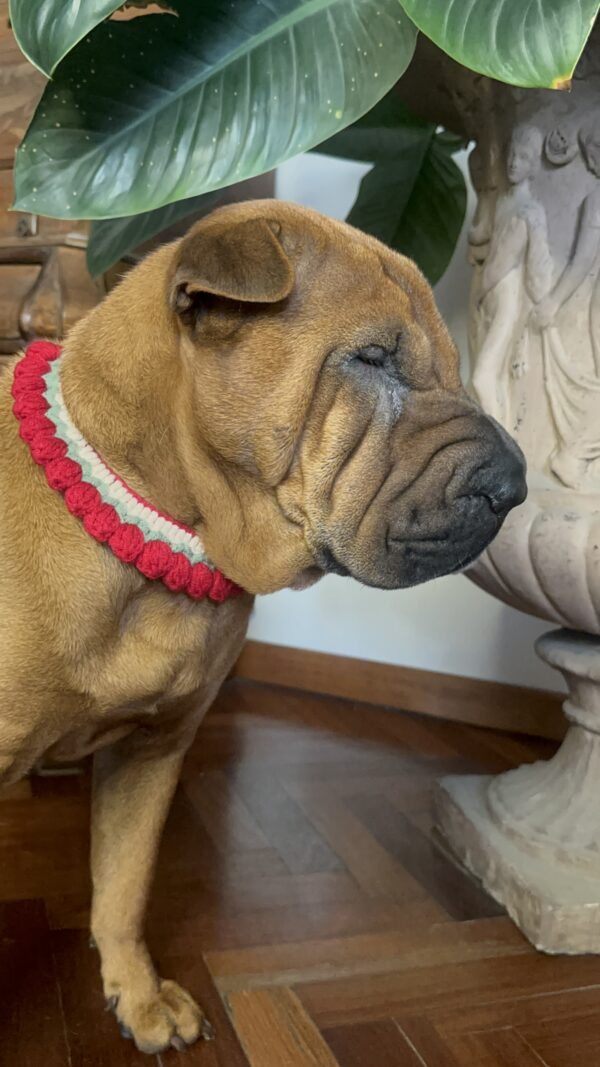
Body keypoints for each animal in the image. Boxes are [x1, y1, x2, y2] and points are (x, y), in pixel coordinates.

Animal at [0, 200, 526, 1052]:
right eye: (372, 359)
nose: (516, 484)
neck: (159, 528)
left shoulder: (152, 753)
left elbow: (123, 885)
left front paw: (137, 994)